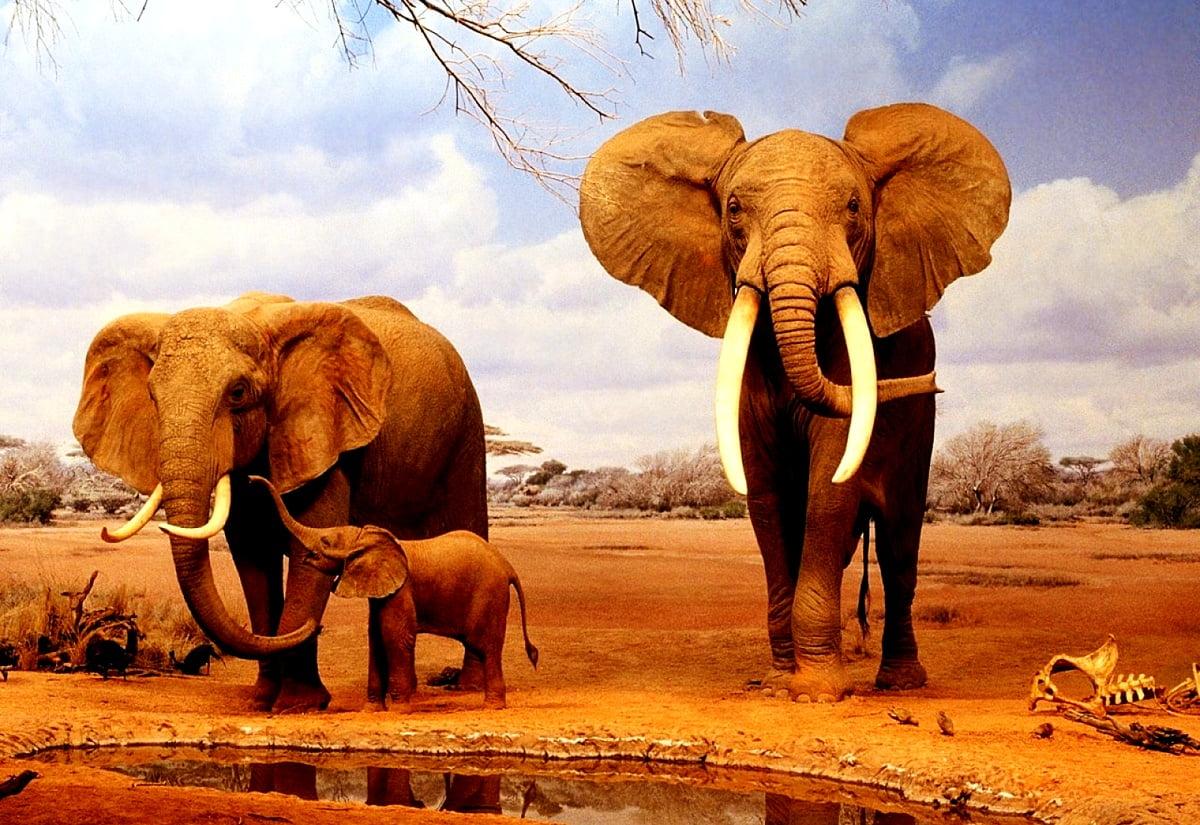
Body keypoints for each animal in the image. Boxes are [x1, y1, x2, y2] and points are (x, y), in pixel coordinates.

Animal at [73, 292, 488, 712]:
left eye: (238, 392)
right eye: (152, 396)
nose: (315, 627)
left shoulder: (324, 435)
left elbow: (310, 548)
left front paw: (297, 705)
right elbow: (252, 559)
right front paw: (261, 702)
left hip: (466, 431)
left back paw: (468, 687)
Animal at [253, 475, 538, 711]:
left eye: (326, 541)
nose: (251, 479)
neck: (367, 537)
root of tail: (507, 566)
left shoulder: (402, 590)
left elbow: (395, 637)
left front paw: (399, 710)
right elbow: (376, 637)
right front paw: (371, 710)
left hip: (490, 594)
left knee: (487, 647)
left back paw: (493, 707)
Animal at [580, 104, 1010, 701]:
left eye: (853, 207)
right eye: (734, 209)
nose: (932, 381)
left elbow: (829, 489)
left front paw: (816, 692)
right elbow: (766, 495)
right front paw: (779, 681)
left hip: (919, 431)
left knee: (900, 542)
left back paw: (899, 683)